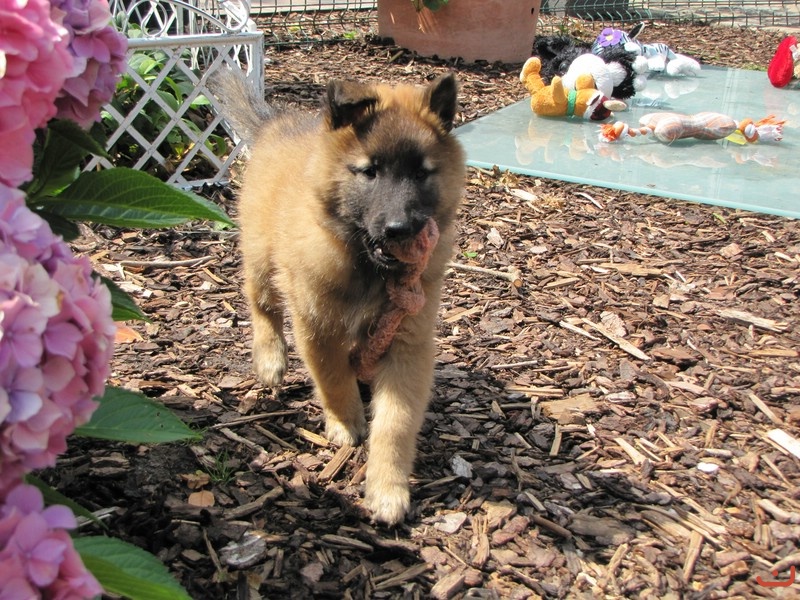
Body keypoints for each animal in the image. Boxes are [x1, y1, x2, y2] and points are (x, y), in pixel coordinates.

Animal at [212, 70, 465, 525]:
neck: (368, 268)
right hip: (260, 257)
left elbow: (396, 422)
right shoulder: (318, 326)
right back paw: (270, 358)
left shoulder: (407, 344)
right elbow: (332, 378)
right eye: (370, 172)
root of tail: (277, 123)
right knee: (261, 304)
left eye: (422, 174)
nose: (400, 229)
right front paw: (345, 423)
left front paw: (387, 488)